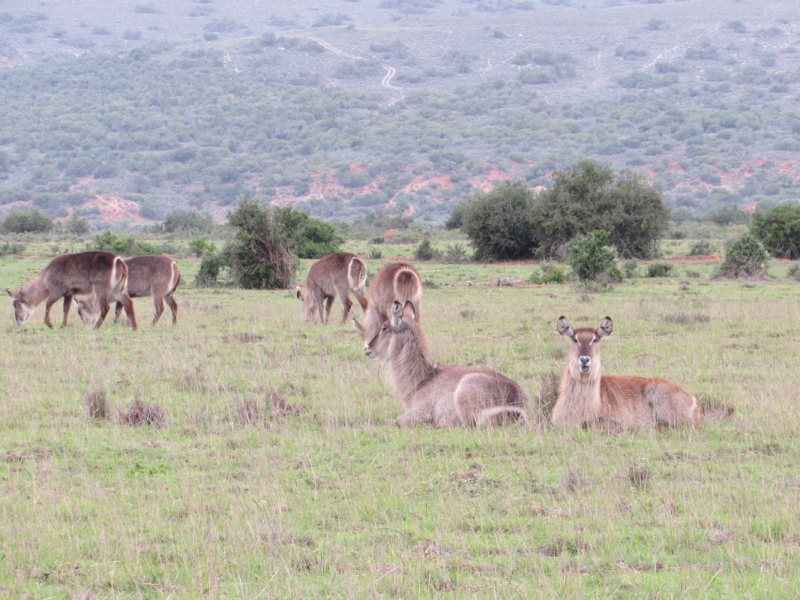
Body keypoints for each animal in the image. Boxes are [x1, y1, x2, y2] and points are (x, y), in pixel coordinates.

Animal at [7, 251, 135, 330]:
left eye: (15, 304)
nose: (18, 322)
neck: (45, 277)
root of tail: (118, 260)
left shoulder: (57, 291)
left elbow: (48, 304)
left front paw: (50, 324)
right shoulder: (69, 293)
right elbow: (66, 309)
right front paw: (63, 326)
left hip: (102, 288)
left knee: (105, 307)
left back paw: (95, 328)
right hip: (118, 288)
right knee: (128, 302)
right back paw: (134, 327)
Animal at [354, 300, 528, 426]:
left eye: (384, 327)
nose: (367, 348)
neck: (422, 380)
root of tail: (518, 401)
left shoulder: (419, 412)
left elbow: (397, 421)